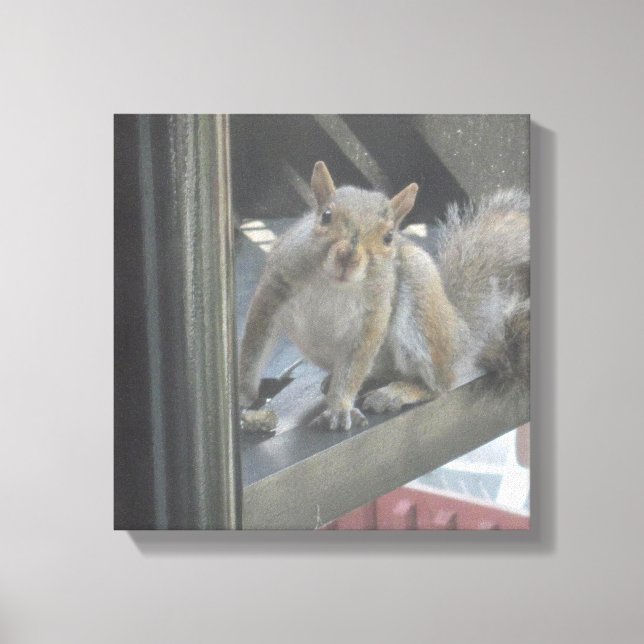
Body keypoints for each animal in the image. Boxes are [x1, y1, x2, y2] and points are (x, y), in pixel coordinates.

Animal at [239, 161, 529, 431]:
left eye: (389, 237)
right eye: (326, 216)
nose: (348, 257)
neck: (335, 284)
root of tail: (463, 336)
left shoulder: (374, 312)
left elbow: (356, 362)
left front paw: (340, 408)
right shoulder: (275, 287)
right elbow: (255, 345)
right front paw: (244, 396)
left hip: (421, 305)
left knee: (439, 385)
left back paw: (398, 392)